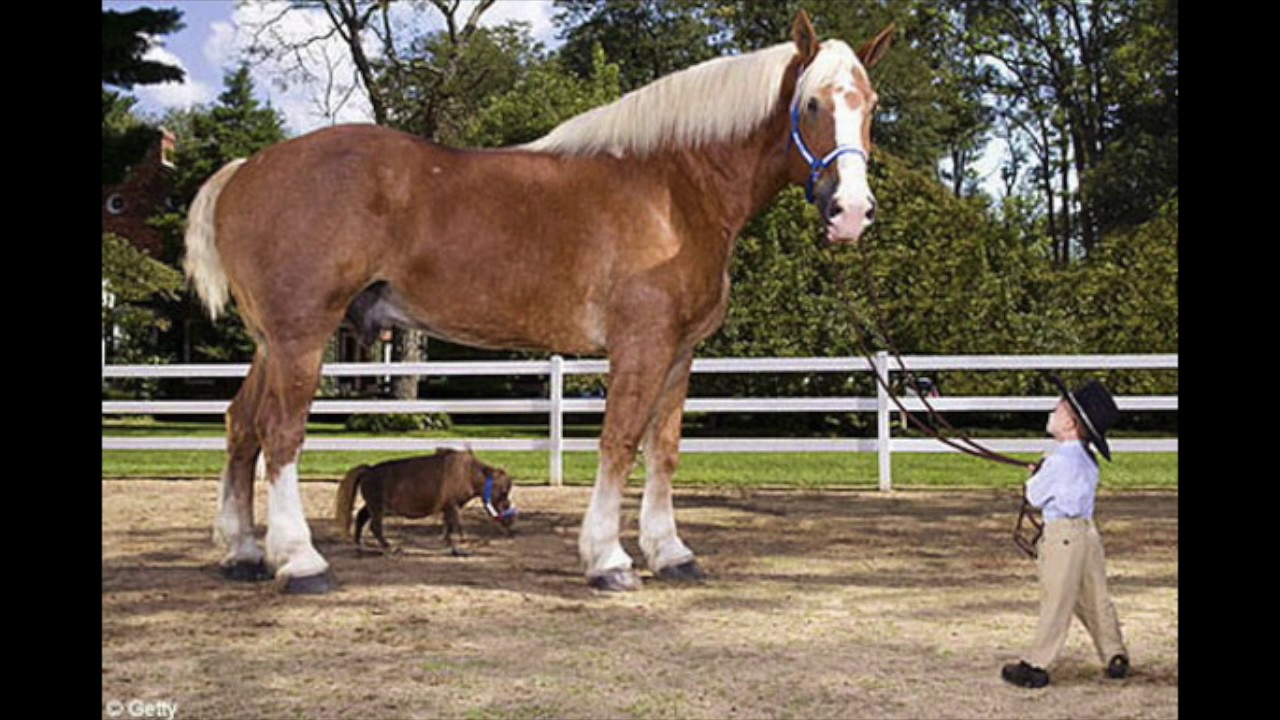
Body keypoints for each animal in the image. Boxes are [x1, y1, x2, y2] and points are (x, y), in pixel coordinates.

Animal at [340, 448, 519, 556]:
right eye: (503, 492)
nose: (510, 521)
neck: (469, 473)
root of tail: (368, 470)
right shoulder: (453, 506)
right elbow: (457, 526)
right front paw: (462, 546)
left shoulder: (448, 508)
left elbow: (449, 528)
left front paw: (451, 546)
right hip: (378, 508)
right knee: (375, 527)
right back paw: (390, 547)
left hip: (372, 506)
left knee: (361, 517)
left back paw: (360, 546)